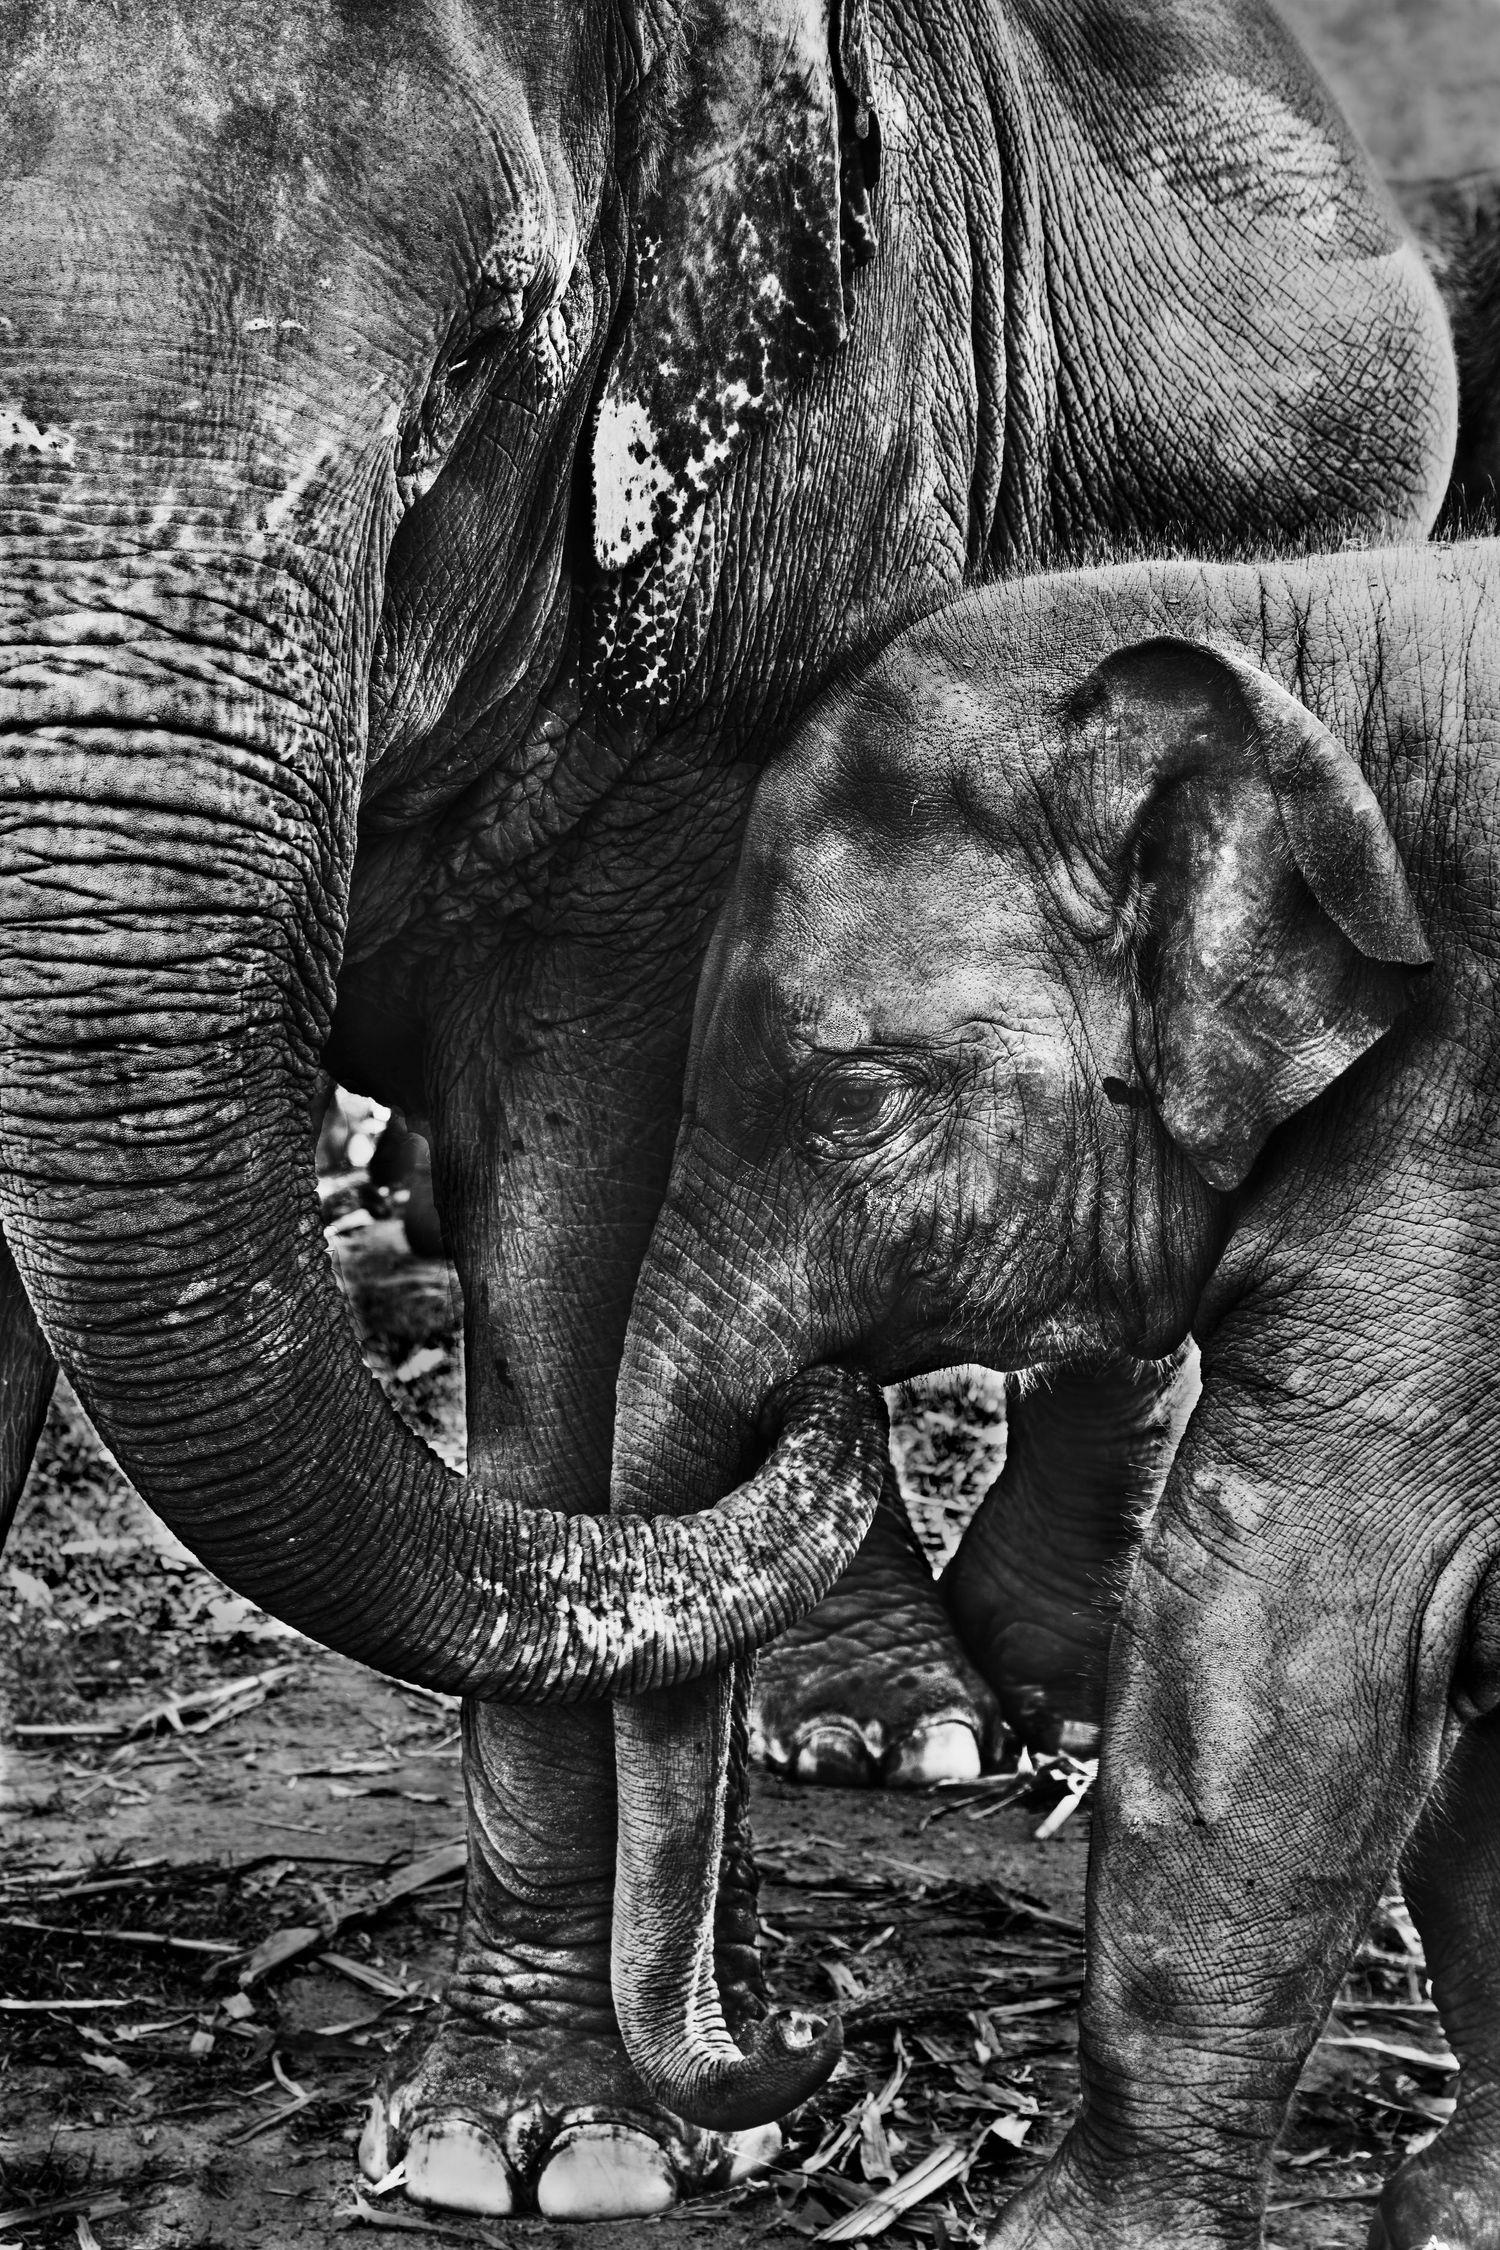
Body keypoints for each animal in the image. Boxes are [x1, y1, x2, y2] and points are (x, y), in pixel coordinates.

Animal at [615, 536, 1500, 2247]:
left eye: (853, 1093)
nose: (815, 2017)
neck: (1311, 626)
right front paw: (1459, 2216)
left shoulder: (1456, 1163)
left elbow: (1289, 1638)